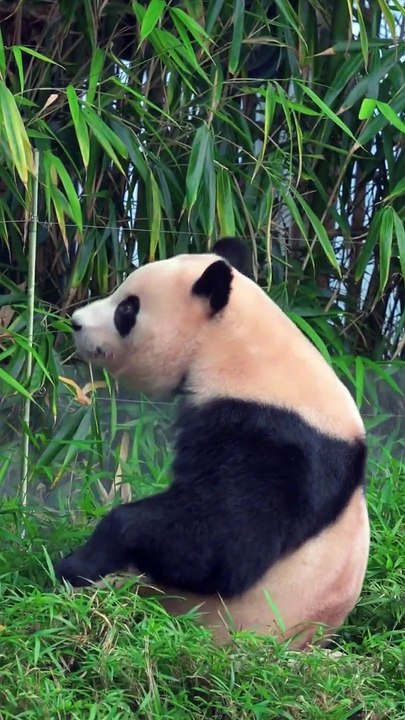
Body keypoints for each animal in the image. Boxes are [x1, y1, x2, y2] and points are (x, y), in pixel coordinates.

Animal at [56, 237, 370, 649]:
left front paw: (76, 564)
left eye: (127, 308)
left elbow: (224, 544)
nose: (76, 322)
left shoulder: (273, 435)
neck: (240, 348)